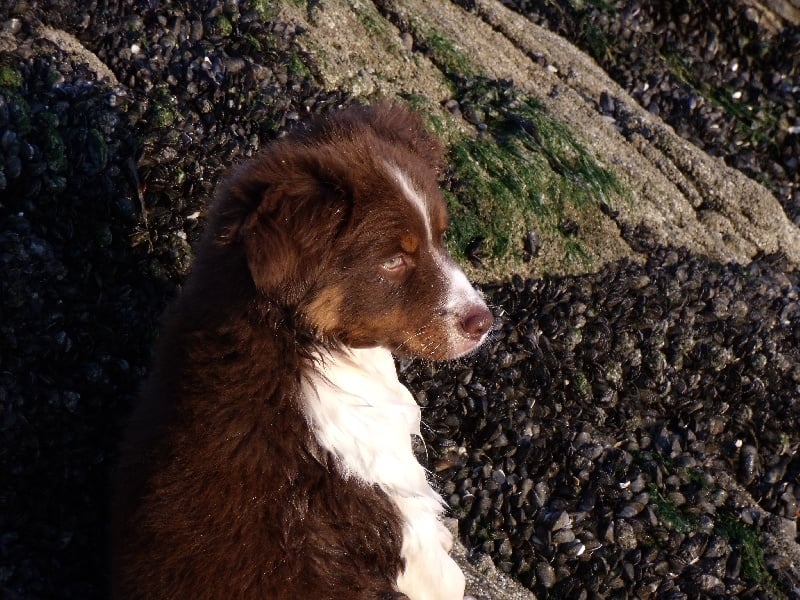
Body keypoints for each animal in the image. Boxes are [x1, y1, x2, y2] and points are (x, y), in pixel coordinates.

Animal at [111, 103, 493, 599]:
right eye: (393, 260)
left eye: (440, 237)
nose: (485, 321)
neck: (298, 346)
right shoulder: (396, 514)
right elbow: (446, 572)